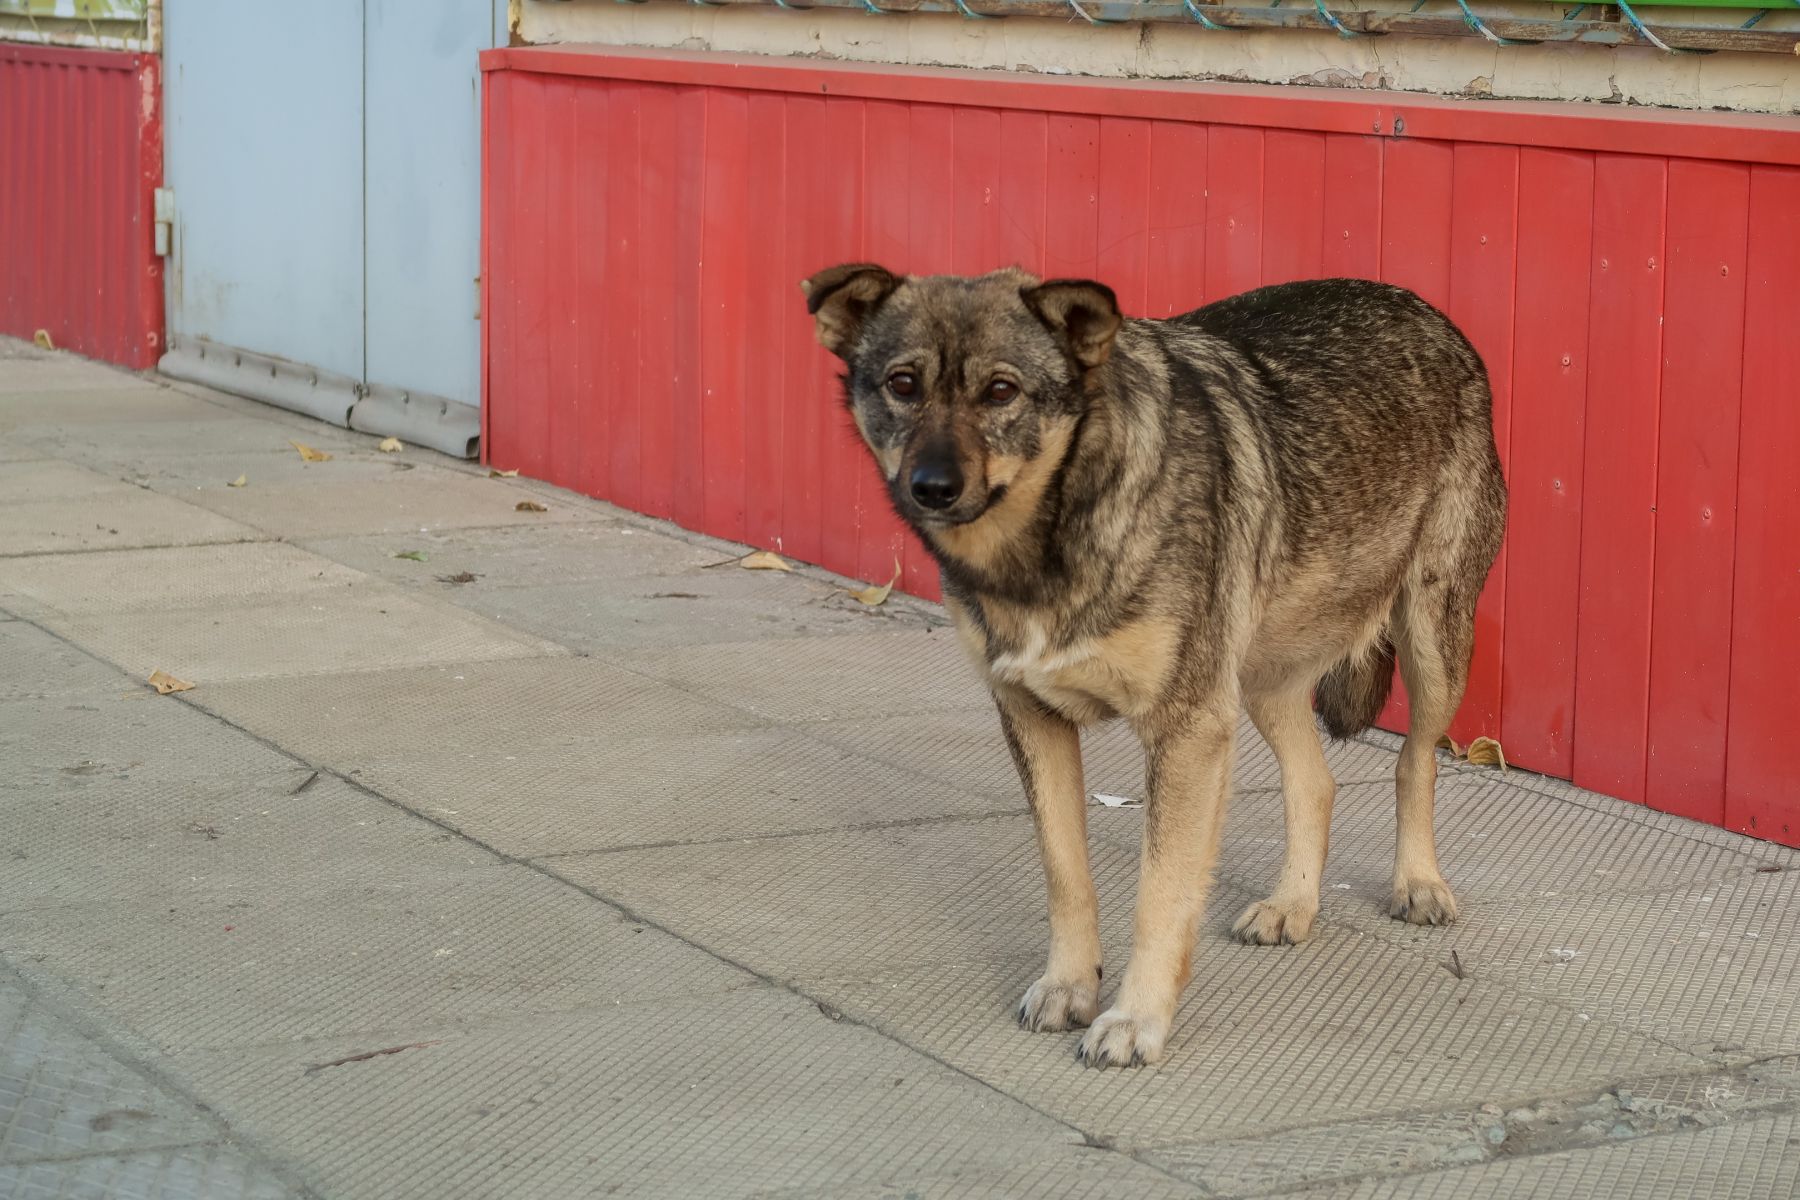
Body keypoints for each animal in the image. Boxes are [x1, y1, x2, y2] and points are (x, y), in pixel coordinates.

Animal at [802, 264, 1504, 1072]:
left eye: (1002, 391)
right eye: (903, 383)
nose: (931, 487)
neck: (1053, 537)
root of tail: (1418, 304)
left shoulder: (1186, 731)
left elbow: (1160, 893)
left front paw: (1136, 1021)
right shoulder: (1035, 718)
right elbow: (1066, 875)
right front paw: (1070, 988)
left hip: (1430, 643)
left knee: (1415, 760)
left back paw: (1418, 883)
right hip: (1259, 677)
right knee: (1316, 780)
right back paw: (1292, 904)